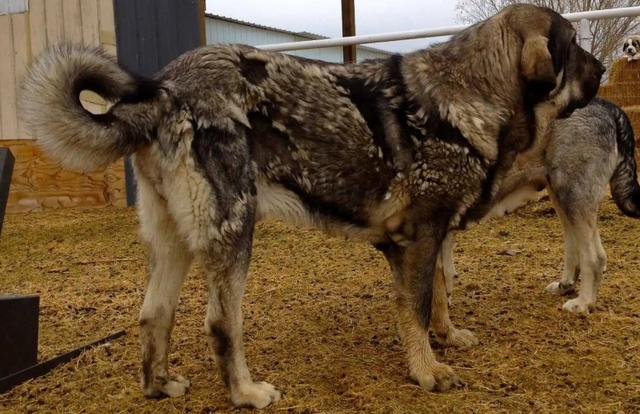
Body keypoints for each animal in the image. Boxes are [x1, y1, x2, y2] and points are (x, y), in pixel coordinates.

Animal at [17, 4, 604, 410]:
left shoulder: (429, 238)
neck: (470, 96)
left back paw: (159, 386)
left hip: (175, 241)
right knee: (220, 323)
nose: (602, 69)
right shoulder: (419, 238)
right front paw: (427, 370)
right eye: (574, 46)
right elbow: (415, 307)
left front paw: (446, 337)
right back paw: (246, 393)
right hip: (234, 227)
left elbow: (438, 293)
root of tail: (163, 90)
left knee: (153, 314)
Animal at [440, 98, 640, 316]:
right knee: (577, 247)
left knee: (595, 258)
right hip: (562, 196)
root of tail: (609, 107)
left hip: (572, 194)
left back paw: (583, 302)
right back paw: (565, 285)